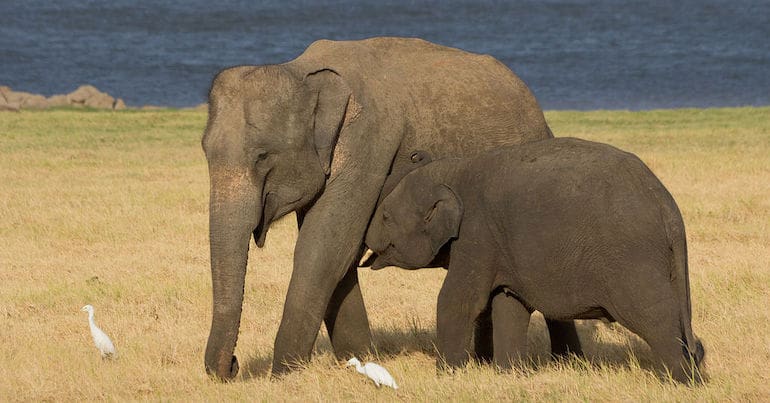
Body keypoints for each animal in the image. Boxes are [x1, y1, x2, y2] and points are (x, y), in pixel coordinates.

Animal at [201, 36, 580, 380]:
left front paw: (283, 374)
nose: (232, 366)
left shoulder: (369, 144)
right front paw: (360, 362)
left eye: (263, 156)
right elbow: (341, 256)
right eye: (205, 150)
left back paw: (568, 363)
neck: (303, 70)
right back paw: (486, 361)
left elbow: (323, 250)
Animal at [364, 137, 704, 384]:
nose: (366, 243)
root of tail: (665, 203)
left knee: (653, 312)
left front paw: (447, 376)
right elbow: (509, 304)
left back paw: (679, 381)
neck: (452, 172)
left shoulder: (476, 234)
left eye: (385, 216)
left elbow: (459, 300)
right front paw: (511, 375)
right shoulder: (501, 246)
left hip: (630, 256)